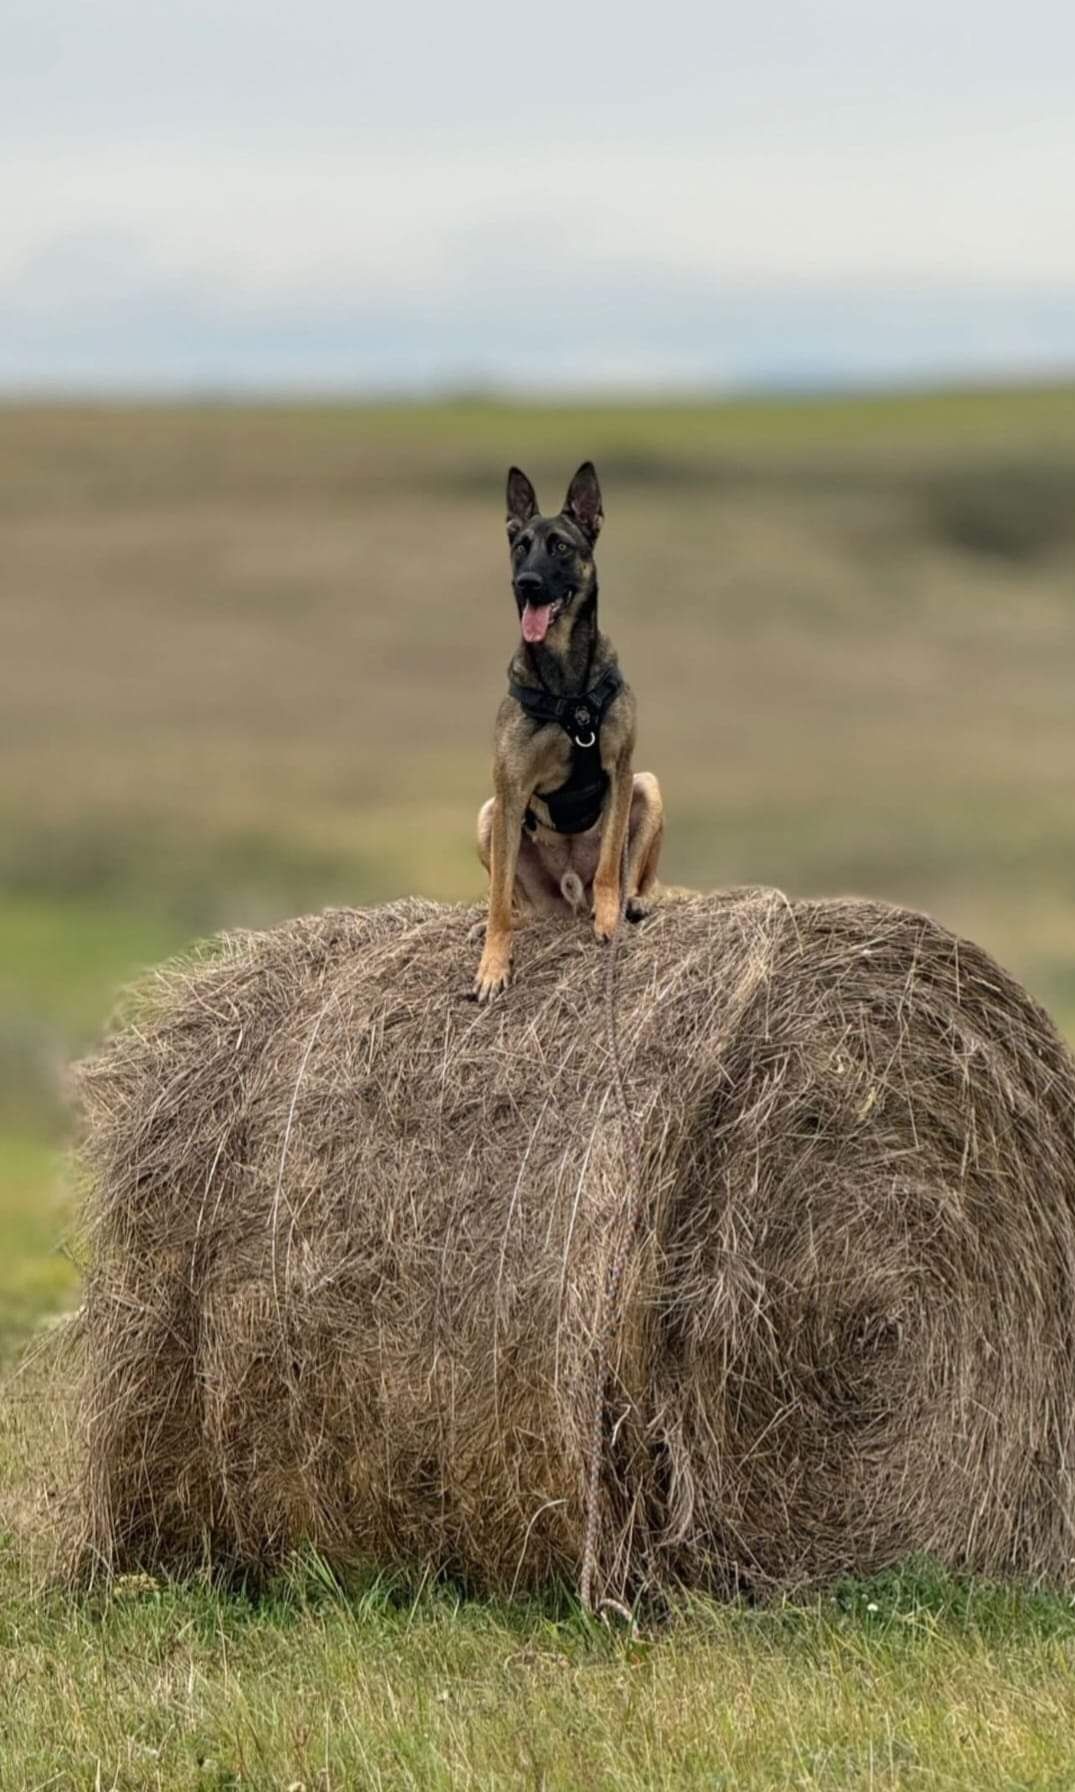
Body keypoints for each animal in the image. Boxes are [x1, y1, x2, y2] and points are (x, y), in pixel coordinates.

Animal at [476, 462, 662, 1003]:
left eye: (560, 546)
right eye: (520, 546)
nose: (527, 583)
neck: (566, 684)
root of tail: (568, 899)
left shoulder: (622, 769)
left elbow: (609, 866)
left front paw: (609, 919)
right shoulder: (509, 790)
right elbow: (498, 902)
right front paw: (493, 965)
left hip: (649, 786)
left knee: (630, 877)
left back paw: (632, 903)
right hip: (488, 818)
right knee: (513, 901)